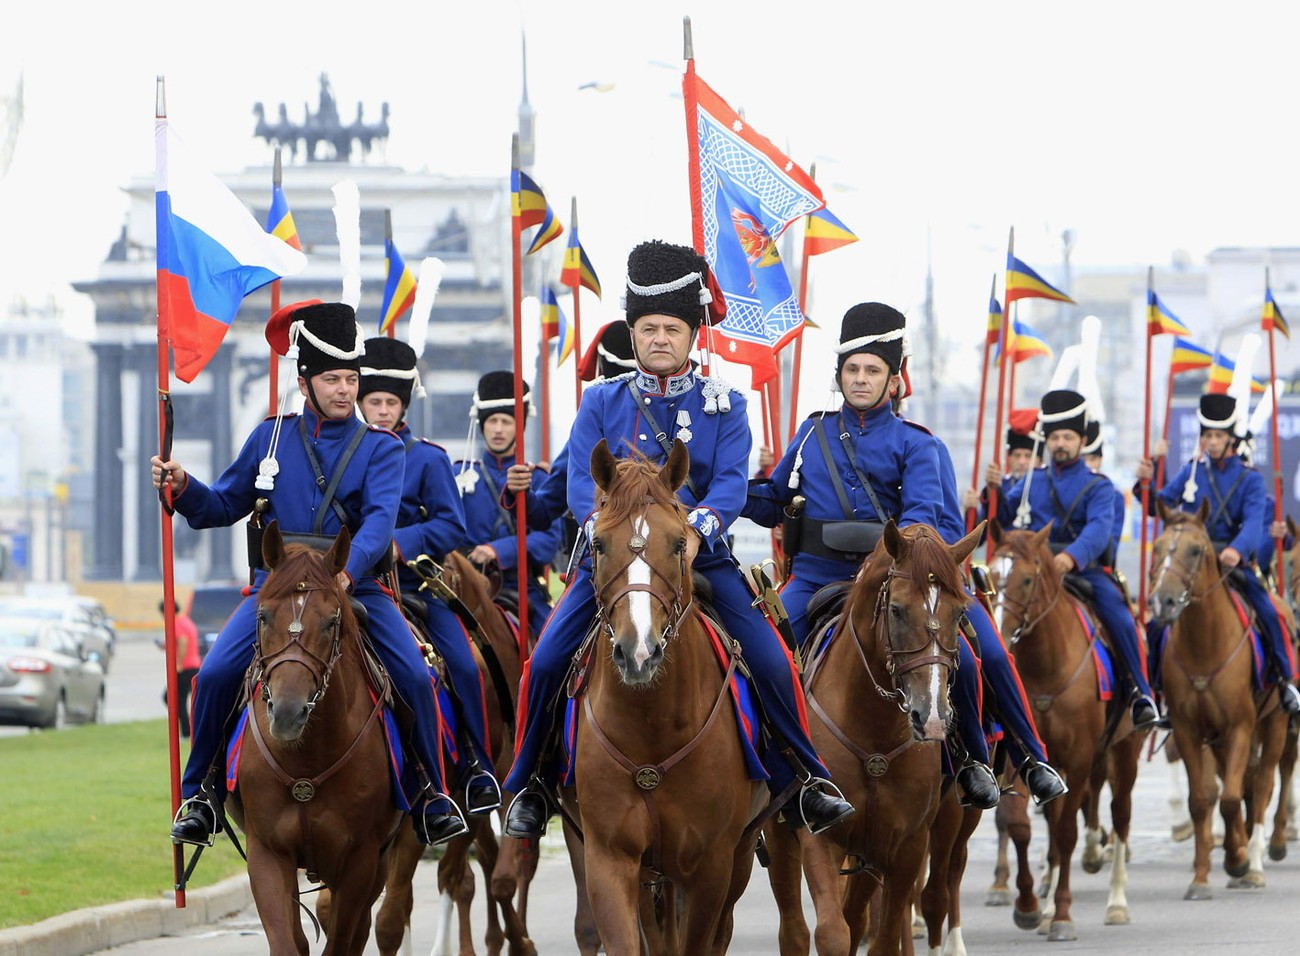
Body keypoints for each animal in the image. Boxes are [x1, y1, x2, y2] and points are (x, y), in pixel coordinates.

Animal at [226, 522, 400, 956]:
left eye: (330, 621)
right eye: (263, 616)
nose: (288, 714)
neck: (306, 757)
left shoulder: (360, 861)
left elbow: (340, 942)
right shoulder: (267, 854)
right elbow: (287, 943)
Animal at [564, 437, 764, 952]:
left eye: (678, 543)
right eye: (598, 544)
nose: (639, 651)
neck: (651, 724)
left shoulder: (711, 867)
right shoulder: (609, 859)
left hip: (736, 860)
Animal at [759, 522, 982, 956]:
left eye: (960, 612)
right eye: (896, 610)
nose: (932, 717)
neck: (874, 731)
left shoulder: (907, 846)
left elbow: (883, 934)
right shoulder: (821, 837)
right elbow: (832, 933)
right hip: (782, 837)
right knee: (794, 929)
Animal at [982, 520, 1149, 936]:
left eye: (1027, 580)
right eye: (990, 575)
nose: (999, 633)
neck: (1045, 668)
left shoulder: (1078, 759)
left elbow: (1067, 832)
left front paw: (1061, 914)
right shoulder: (1025, 759)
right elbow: (1019, 824)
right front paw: (1029, 906)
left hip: (1126, 751)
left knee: (1120, 814)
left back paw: (1116, 901)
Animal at [1154, 502, 1294, 894]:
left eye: (1195, 550)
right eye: (1157, 548)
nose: (1164, 601)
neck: (1205, 643)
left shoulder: (1241, 727)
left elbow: (1232, 799)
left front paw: (1239, 860)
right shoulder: (1189, 731)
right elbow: (1202, 800)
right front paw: (1202, 877)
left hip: (1275, 723)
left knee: (1265, 781)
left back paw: (1261, 856)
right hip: (1218, 740)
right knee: (1244, 782)